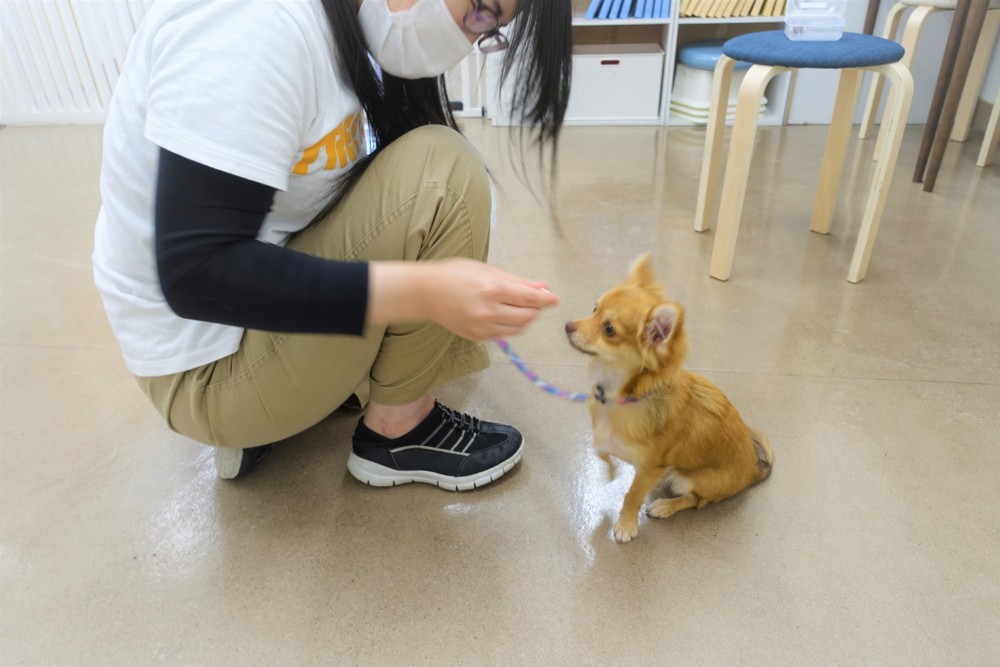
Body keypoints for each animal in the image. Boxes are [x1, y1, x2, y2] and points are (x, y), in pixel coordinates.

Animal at [565, 254, 773, 543]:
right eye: (594, 308)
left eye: (609, 329)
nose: (568, 325)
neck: (621, 395)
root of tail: (753, 470)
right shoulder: (607, 439)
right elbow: (601, 450)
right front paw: (610, 471)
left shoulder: (650, 467)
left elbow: (632, 495)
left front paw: (626, 524)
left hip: (688, 478)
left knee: (697, 500)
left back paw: (666, 506)